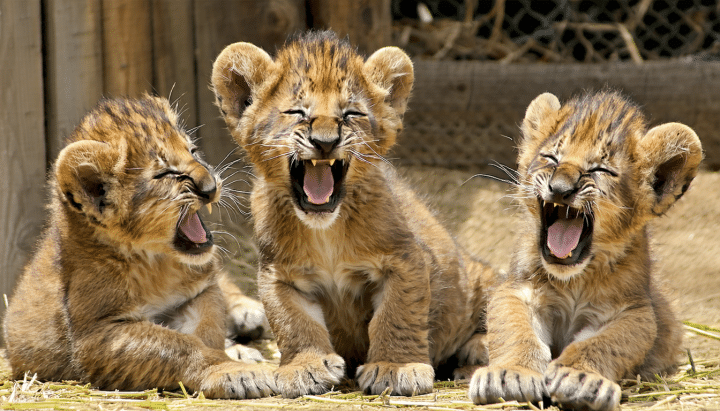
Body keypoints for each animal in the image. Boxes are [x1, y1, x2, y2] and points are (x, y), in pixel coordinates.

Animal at [3, 95, 276, 399]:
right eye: (166, 173)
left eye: (193, 152)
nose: (211, 187)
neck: (156, 261)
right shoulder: (96, 333)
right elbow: (179, 346)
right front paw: (231, 370)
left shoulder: (201, 291)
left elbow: (208, 331)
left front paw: (230, 355)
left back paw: (248, 315)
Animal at [210, 31, 494, 398]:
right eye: (297, 112)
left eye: (350, 114)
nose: (325, 142)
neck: (325, 230)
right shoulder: (278, 274)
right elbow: (293, 322)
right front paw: (306, 367)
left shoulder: (405, 259)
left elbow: (398, 314)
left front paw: (395, 368)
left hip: (483, 277)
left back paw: (479, 348)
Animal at [469, 90, 702, 410]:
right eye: (551, 158)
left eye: (599, 170)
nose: (560, 188)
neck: (573, 280)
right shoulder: (517, 289)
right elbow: (514, 329)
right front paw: (509, 375)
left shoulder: (635, 311)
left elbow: (603, 343)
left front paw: (581, 380)